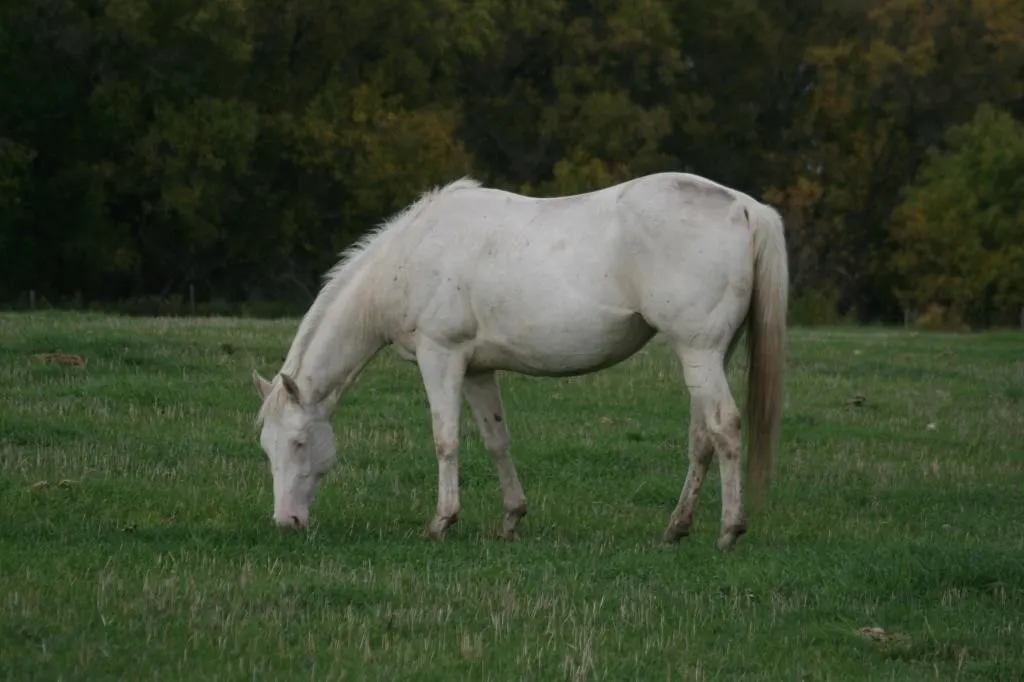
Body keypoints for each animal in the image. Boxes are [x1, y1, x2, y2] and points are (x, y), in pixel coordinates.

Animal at [252, 171, 788, 551]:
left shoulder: (440, 357)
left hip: (698, 352)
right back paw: (676, 528)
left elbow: (445, 439)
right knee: (702, 438)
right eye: (267, 448)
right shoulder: (476, 370)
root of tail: (744, 206)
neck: (413, 255)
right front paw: (511, 519)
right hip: (708, 356)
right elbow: (496, 441)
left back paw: (728, 530)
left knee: (725, 427)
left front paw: (441, 522)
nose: (285, 522)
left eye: (299, 443)